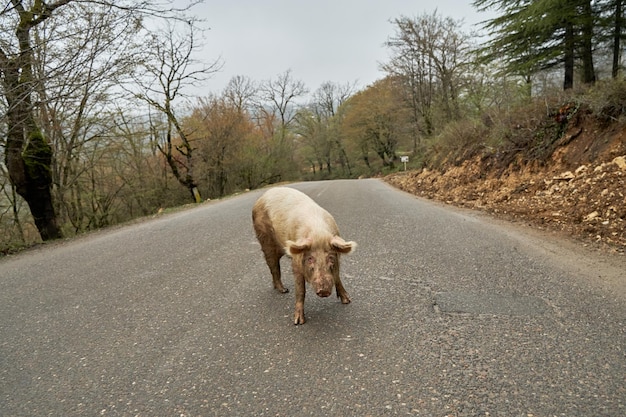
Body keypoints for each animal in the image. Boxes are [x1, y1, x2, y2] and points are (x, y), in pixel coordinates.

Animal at [250, 186, 356, 324]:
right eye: (310, 258)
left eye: (330, 258)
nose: (323, 290)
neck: (318, 233)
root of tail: (262, 197)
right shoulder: (296, 262)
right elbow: (300, 289)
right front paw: (298, 322)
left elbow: (337, 277)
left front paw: (347, 301)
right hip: (264, 239)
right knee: (273, 267)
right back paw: (284, 290)